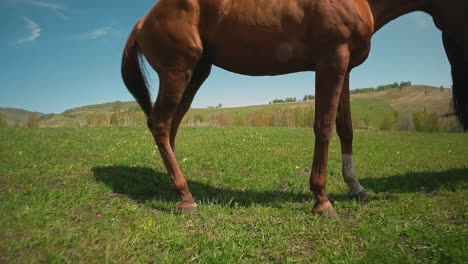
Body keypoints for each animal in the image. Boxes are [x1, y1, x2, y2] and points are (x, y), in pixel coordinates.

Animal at [120, 0, 464, 217]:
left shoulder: (345, 68)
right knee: (160, 124)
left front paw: (355, 186)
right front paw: (322, 200)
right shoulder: (331, 61)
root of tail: (141, 21)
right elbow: (323, 126)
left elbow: (345, 127)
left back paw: (178, 188)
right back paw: (186, 197)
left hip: (196, 73)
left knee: (171, 127)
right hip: (178, 72)